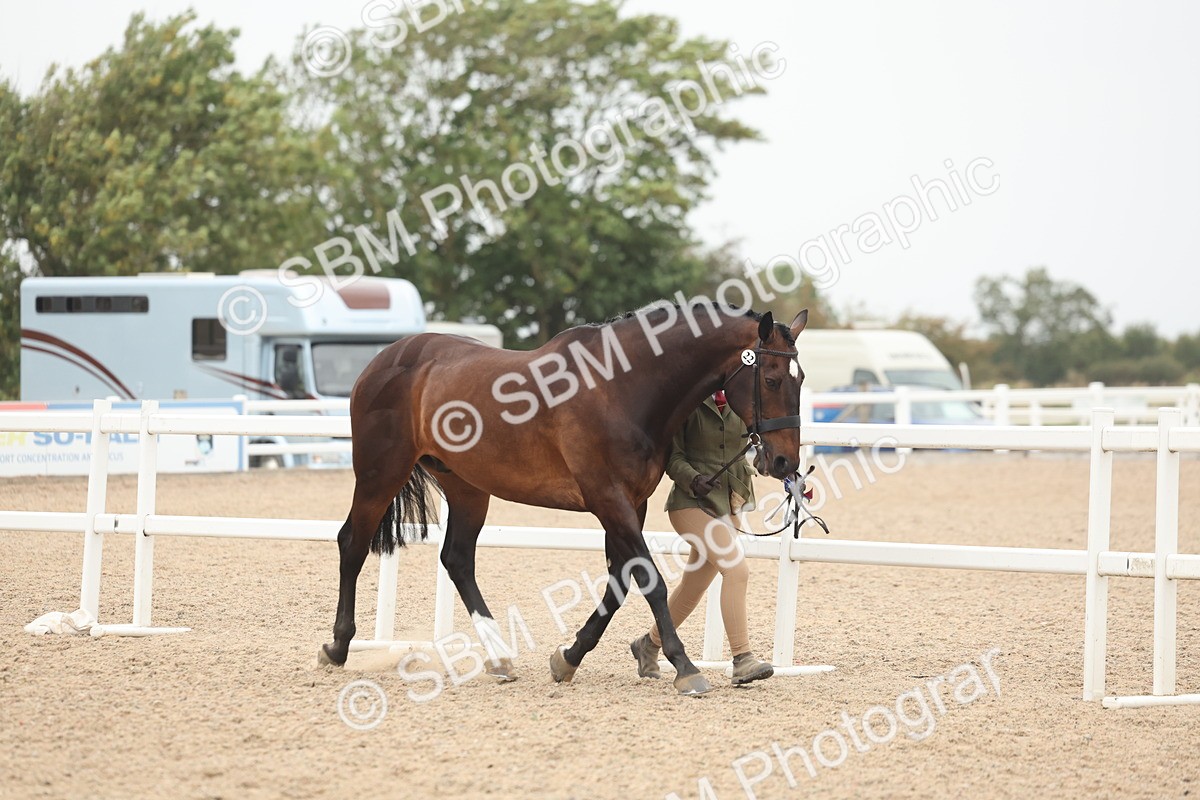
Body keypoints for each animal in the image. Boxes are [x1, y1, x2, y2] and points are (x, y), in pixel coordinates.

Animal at [318, 302, 809, 695]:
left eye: (800, 379)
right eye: (770, 379)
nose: (785, 461)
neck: (623, 388)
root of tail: (386, 358)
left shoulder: (631, 504)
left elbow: (619, 583)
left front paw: (568, 658)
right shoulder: (609, 499)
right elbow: (649, 579)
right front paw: (685, 666)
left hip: (467, 486)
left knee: (457, 559)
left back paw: (499, 657)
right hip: (380, 473)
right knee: (352, 543)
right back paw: (338, 646)